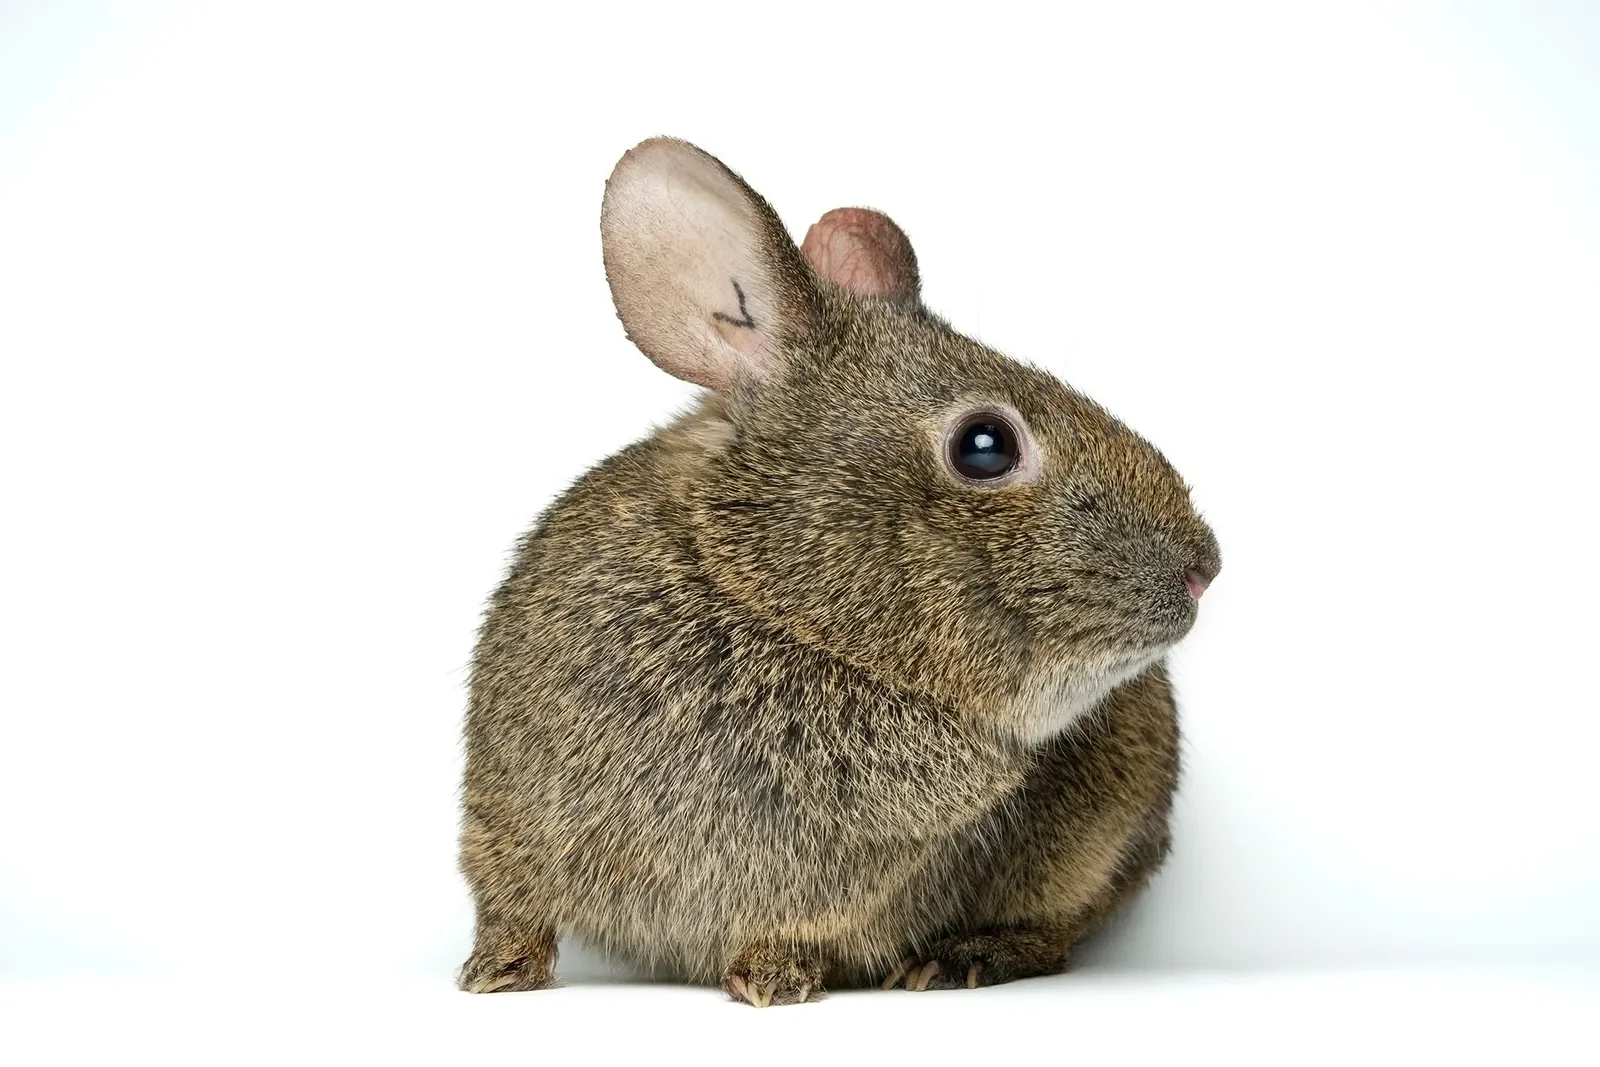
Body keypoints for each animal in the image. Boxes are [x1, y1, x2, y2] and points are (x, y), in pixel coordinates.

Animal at [457, 137, 1220, 1006]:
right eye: (984, 445)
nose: (1205, 567)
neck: (768, 606)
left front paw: (772, 975)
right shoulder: (502, 822)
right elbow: (510, 904)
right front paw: (496, 968)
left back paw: (969, 954)